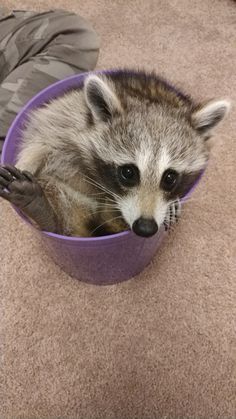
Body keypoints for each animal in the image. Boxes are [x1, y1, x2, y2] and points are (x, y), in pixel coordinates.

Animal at [0, 70, 230, 238]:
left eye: (170, 177)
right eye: (128, 172)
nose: (145, 228)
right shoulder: (65, 118)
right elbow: (40, 141)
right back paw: (44, 212)